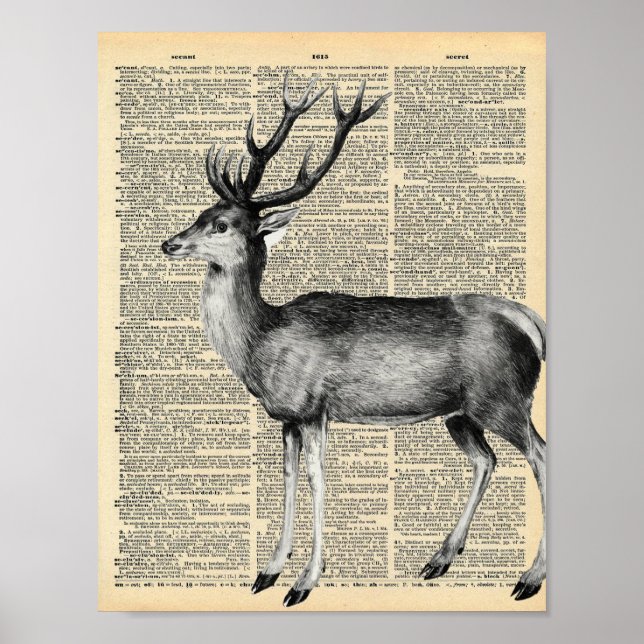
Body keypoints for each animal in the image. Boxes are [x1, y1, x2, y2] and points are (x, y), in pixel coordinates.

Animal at [161, 71, 546, 608]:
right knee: (487, 460)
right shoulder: (286, 417)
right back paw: (440, 559)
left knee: (541, 457)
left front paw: (303, 582)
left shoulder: (314, 406)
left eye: (221, 224)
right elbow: (287, 480)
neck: (263, 342)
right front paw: (268, 572)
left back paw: (529, 578)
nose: (168, 243)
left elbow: (317, 481)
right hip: (461, 413)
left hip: (505, 399)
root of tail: (532, 324)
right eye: (200, 212)